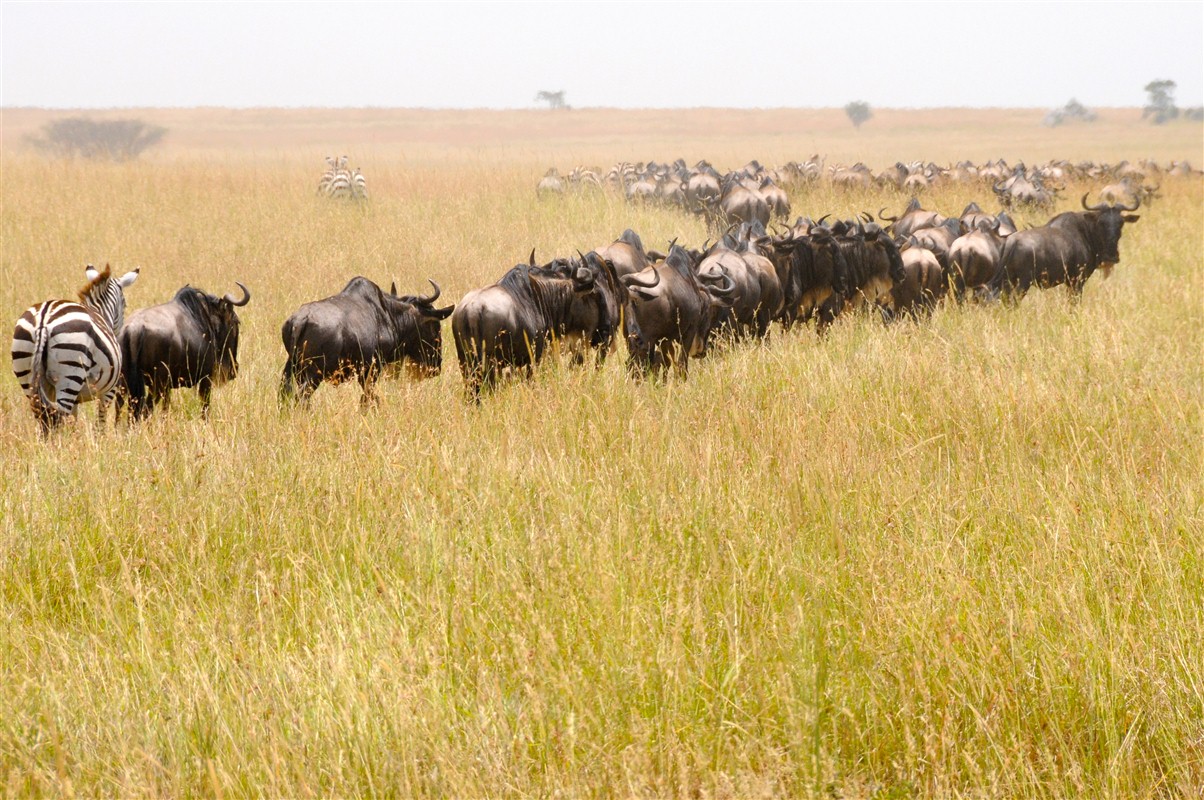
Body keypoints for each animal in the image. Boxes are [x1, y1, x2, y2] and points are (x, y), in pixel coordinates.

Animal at [12, 265, 140, 433]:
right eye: (124, 304)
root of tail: (43, 319)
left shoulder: (74, 398)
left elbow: (73, 421)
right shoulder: (108, 391)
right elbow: (101, 422)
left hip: (27, 374)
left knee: (44, 417)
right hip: (70, 373)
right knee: (59, 416)